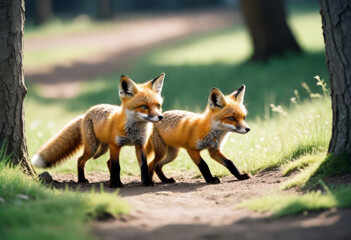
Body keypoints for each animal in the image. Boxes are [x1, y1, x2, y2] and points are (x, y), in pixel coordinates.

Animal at [31, 73, 166, 188]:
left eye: (158, 106)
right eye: (144, 106)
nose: (160, 117)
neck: (133, 131)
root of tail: (87, 112)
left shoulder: (140, 145)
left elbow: (143, 166)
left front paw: (147, 182)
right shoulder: (115, 145)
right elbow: (117, 167)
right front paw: (116, 184)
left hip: (103, 147)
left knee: (107, 162)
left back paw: (108, 179)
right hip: (93, 147)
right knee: (81, 160)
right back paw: (82, 180)